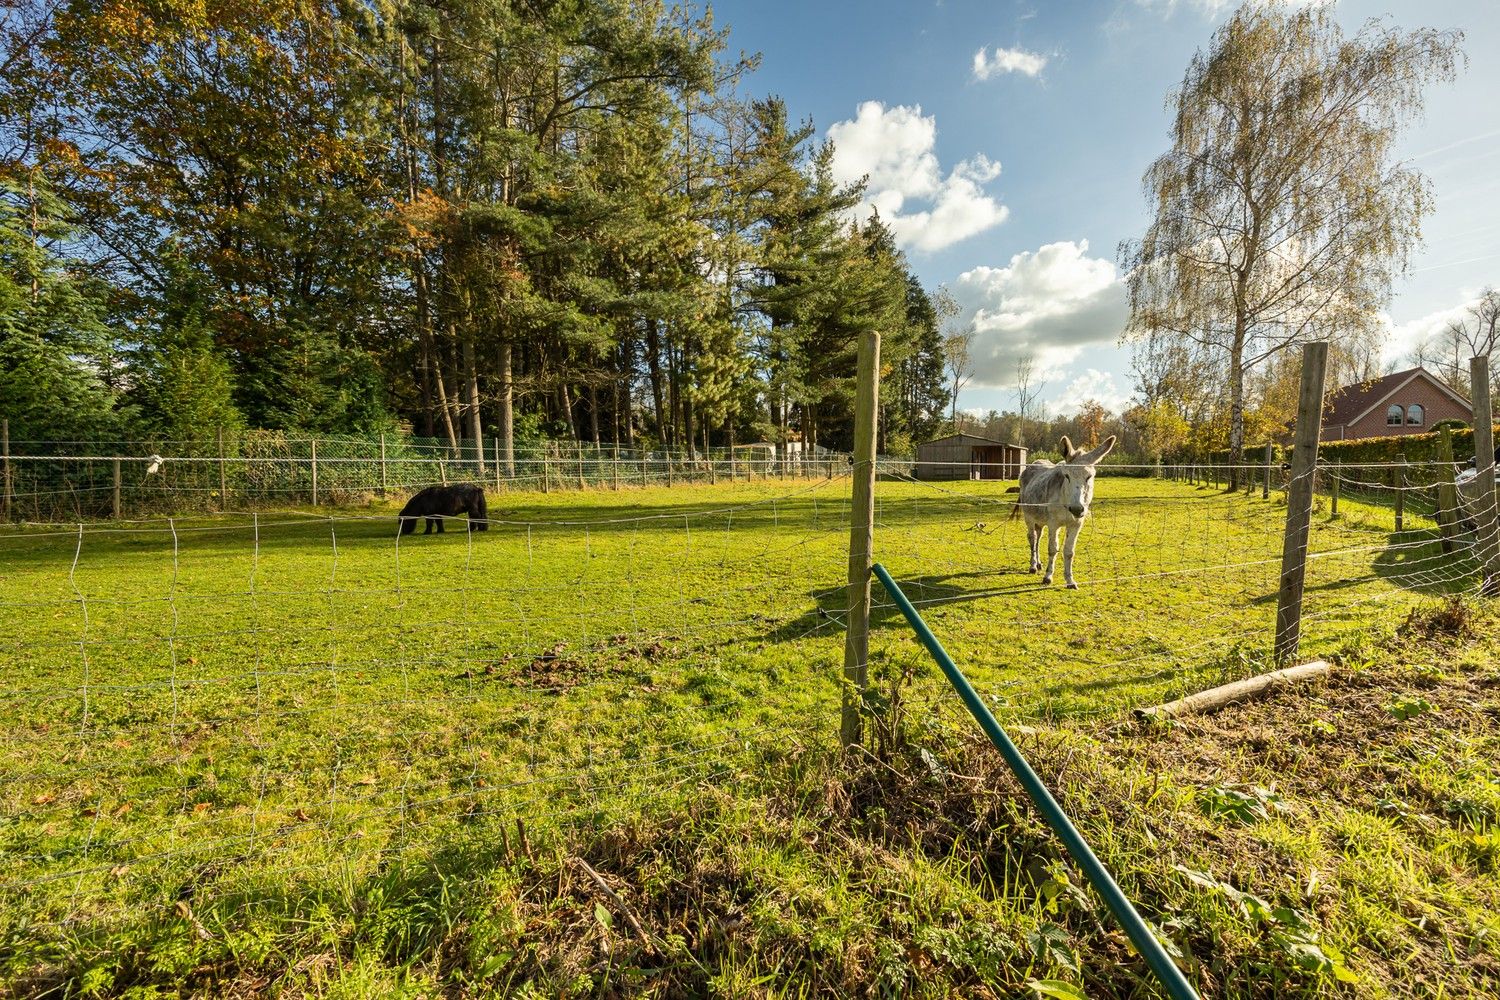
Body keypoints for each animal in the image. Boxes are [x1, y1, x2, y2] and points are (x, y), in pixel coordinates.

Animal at [1008, 434, 1116, 587]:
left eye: (1089, 477)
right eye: (1067, 476)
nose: (1077, 508)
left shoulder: (1076, 524)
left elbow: (1069, 551)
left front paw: (1070, 580)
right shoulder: (1054, 524)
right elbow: (1053, 548)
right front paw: (1048, 577)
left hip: (1040, 519)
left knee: (1038, 536)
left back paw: (1039, 563)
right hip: (1028, 516)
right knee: (1032, 538)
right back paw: (1033, 566)